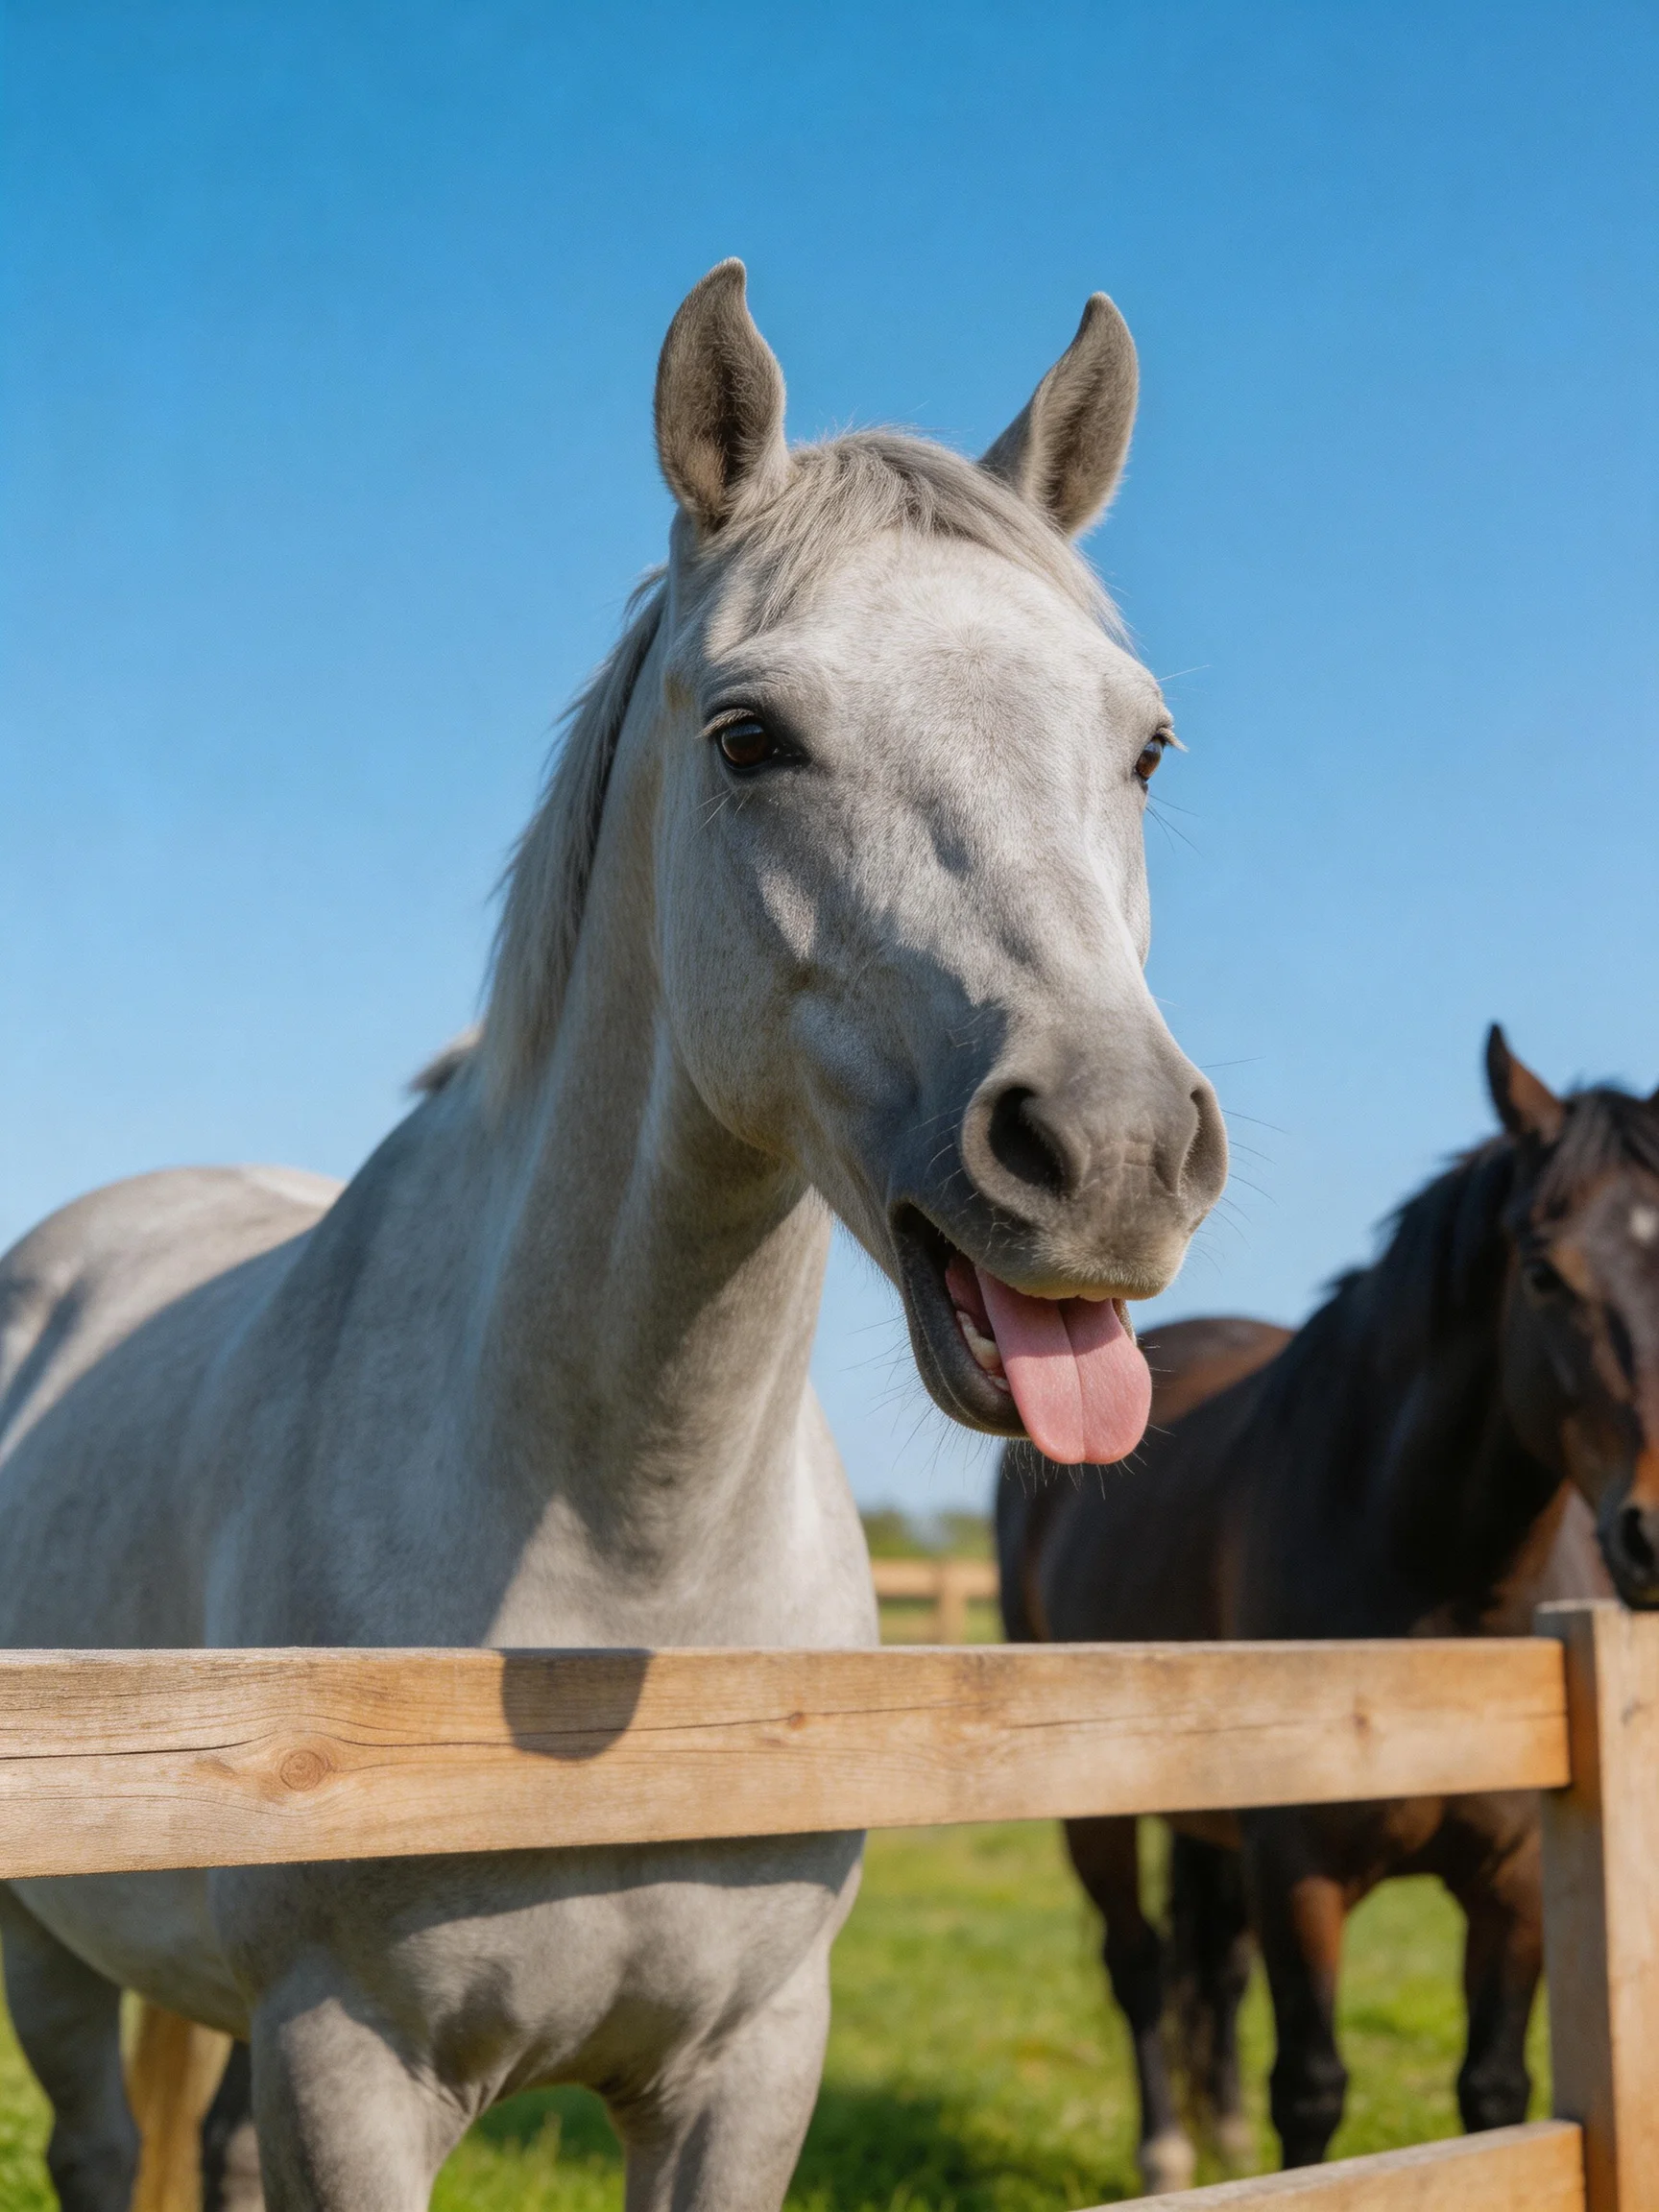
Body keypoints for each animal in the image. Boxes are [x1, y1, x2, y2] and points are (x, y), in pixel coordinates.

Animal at [0, 261, 1227, 2212]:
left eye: (1144, 745)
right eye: (749, 738)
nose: (1109, 1154)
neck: (612, 1615)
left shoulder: (747, 2067)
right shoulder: (349, 2067)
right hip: (51, 1948)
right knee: (104, 2143)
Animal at [997, 1028, 1659, 2193]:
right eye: (1543, 1273)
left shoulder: (1518, 1885)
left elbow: (1496, 2095)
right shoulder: (1298, 1873)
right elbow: (1310, 2091)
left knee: (1210, 1966)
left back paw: (1219, 2137)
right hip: (1098, 1806)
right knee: (1138, 1964)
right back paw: (1167, 2152)